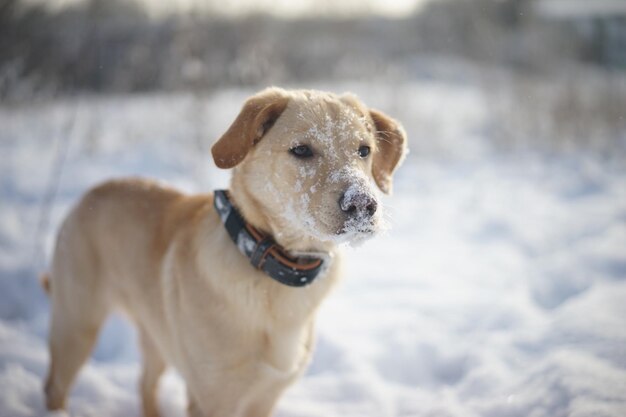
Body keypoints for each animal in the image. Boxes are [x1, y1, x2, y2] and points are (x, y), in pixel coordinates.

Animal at [42, 86, 404, 414]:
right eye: (302, 150)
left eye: (364, 150)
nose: (362, 205)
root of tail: (89, 194)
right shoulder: (213, 397)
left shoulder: (265, 396)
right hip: (77, 325)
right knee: (55, 385)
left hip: (156, 335)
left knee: (145, 384)